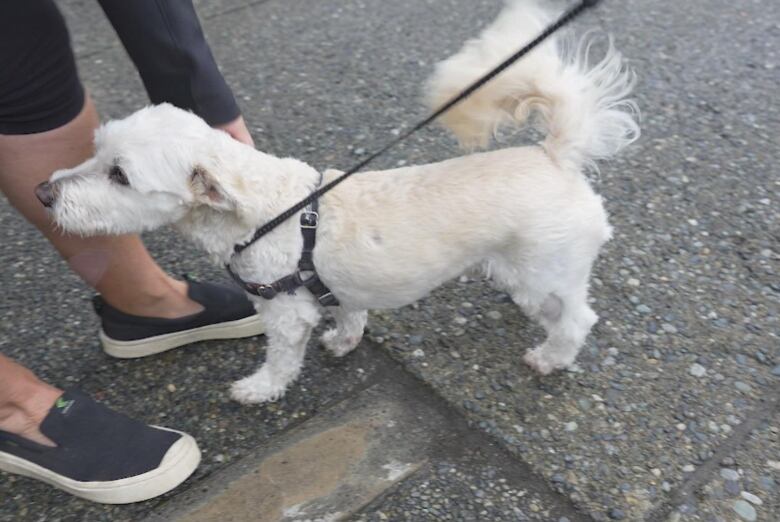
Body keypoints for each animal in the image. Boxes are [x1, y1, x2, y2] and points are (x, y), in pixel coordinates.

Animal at [42, 1, 636, 402]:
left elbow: (282, 361)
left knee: (579, 318)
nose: (43, 193)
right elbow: (351, 313)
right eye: (96, 150)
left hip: (544, 267)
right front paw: (346, 341)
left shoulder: (284, 314)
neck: (267, 211)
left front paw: (259, 388)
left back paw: (552, 355)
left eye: (119, 175)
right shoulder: (336, 287)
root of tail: (555, 156)